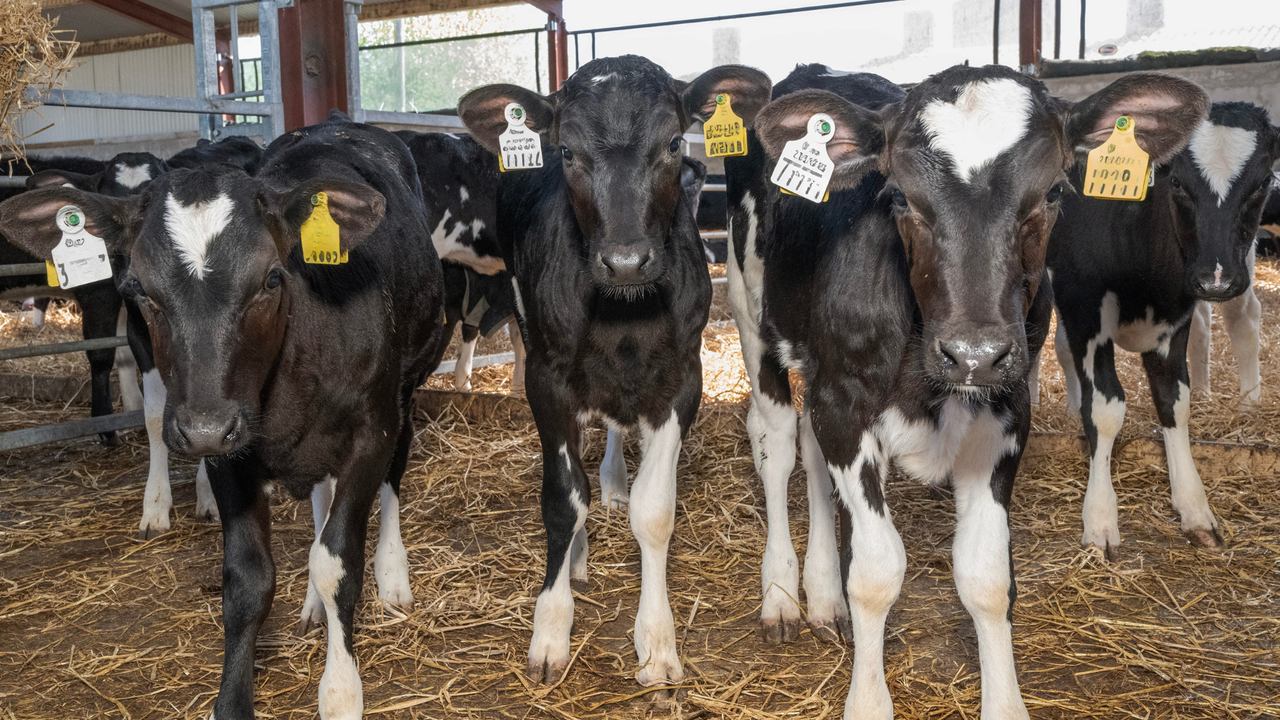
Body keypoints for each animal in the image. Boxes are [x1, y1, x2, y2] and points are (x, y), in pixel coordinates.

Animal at [0, 111, 445, 719]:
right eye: (139, 287)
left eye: (272, 278)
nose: (206, 427)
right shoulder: (230, 455)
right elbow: (248, 579)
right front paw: (233, 700)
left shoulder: (369, 433)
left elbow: (337, 562)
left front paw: (340, 690)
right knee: (318, 497)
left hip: (406, 387)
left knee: (393, 479)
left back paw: (393, 575)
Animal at [458, 55, 772, 688]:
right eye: (567, 151)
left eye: (673, 142)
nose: (626, 260)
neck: (624, 312)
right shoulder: (546, 379)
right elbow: (561, 498)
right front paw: (551, 627)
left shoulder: (682, 379)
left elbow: (655, 511)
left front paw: (656, 641)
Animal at [722, 62, 1209, 719]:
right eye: (899, 196)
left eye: (1053, 192)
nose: (974, 354)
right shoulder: (845, 402)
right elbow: (876, 571)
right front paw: (868, 699)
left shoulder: (1006, 415)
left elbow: (986, 576)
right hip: (752, 315)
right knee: (775, 441)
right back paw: (782, 593)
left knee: (811, 451)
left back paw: (823, 594)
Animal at [1049, 101, 1278, 558]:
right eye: (1177, 183)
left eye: (1263, 182)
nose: (1215, 279)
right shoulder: (1082, 306)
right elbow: (1105, 408)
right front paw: (1100, 518)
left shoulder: (1176, 318)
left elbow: (1175, 401)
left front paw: (1194, 508)